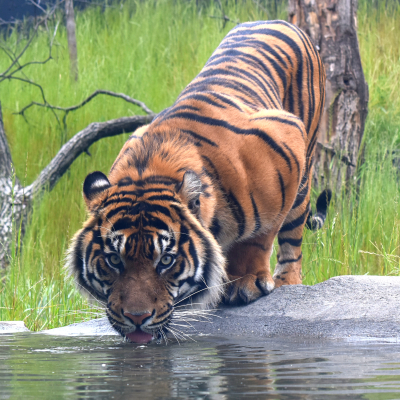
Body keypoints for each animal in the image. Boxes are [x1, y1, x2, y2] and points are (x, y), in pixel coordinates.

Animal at [66, 19, 328, 344]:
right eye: (114, 260)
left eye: (166, 260)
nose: (136, 318)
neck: (147, 169)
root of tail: (278, 21)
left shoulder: (287, 139)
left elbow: (259, 235)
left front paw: (246, 282)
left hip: (306, 161)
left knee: (292, 235)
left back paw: (286, 281)